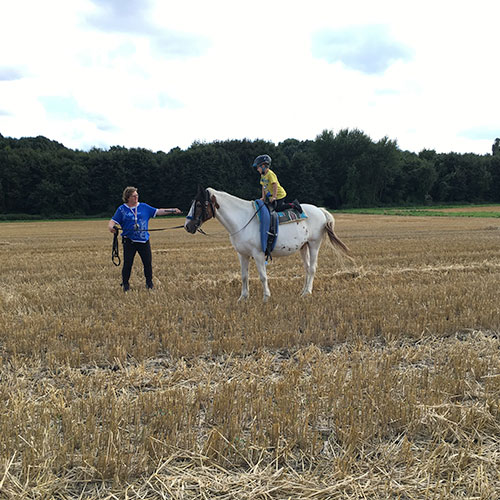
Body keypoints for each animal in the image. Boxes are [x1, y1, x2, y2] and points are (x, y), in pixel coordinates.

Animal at [185, 189, 352, 302]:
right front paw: (243, 297)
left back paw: (307, 293)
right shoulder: (242, 254)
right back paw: (303, 290)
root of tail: (321, 211)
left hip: (314, 244)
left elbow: (263, 276)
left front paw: (266, 296)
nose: (187, 226)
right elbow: (244, 276)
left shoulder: (258, 254)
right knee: (307, 268)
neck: (242, 219)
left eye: (198, 204)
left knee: (312, 268)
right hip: (303, 246)